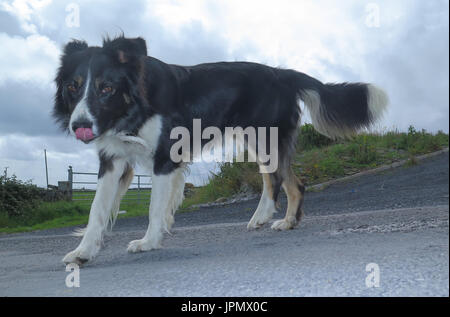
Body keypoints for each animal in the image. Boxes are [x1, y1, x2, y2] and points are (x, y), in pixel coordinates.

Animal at [54, 35, 386, 264]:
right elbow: (97, 210)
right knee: (287, 182)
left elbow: (153, 207)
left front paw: (148, 241)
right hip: (260, 141)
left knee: (281, 181)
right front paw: (83, 252)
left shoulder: (165, 156)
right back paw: (279, 221)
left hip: (263, 138)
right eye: (73, 86)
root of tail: (281, 73)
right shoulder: (113, 161)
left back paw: (272, 218)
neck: (132, 106)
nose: (79, 125)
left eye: (106, 88)